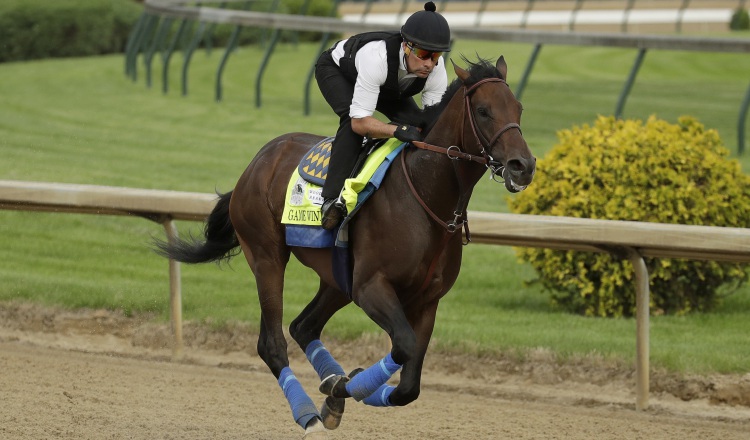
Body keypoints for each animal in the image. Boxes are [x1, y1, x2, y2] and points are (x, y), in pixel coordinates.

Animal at [157, 54, 536, 436]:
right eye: (484, 111)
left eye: (518, 108)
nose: (523, 166)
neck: (425, 197)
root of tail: (257, 161)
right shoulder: (371, 287)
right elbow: (404, 345)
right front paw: (341, 388)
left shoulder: (428, 300)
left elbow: (408, 387)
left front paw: (339, 388)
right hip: (267, 257)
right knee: (272, 343)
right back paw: (308, 415)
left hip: (337, 278)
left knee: (303, 326)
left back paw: (330, 389)